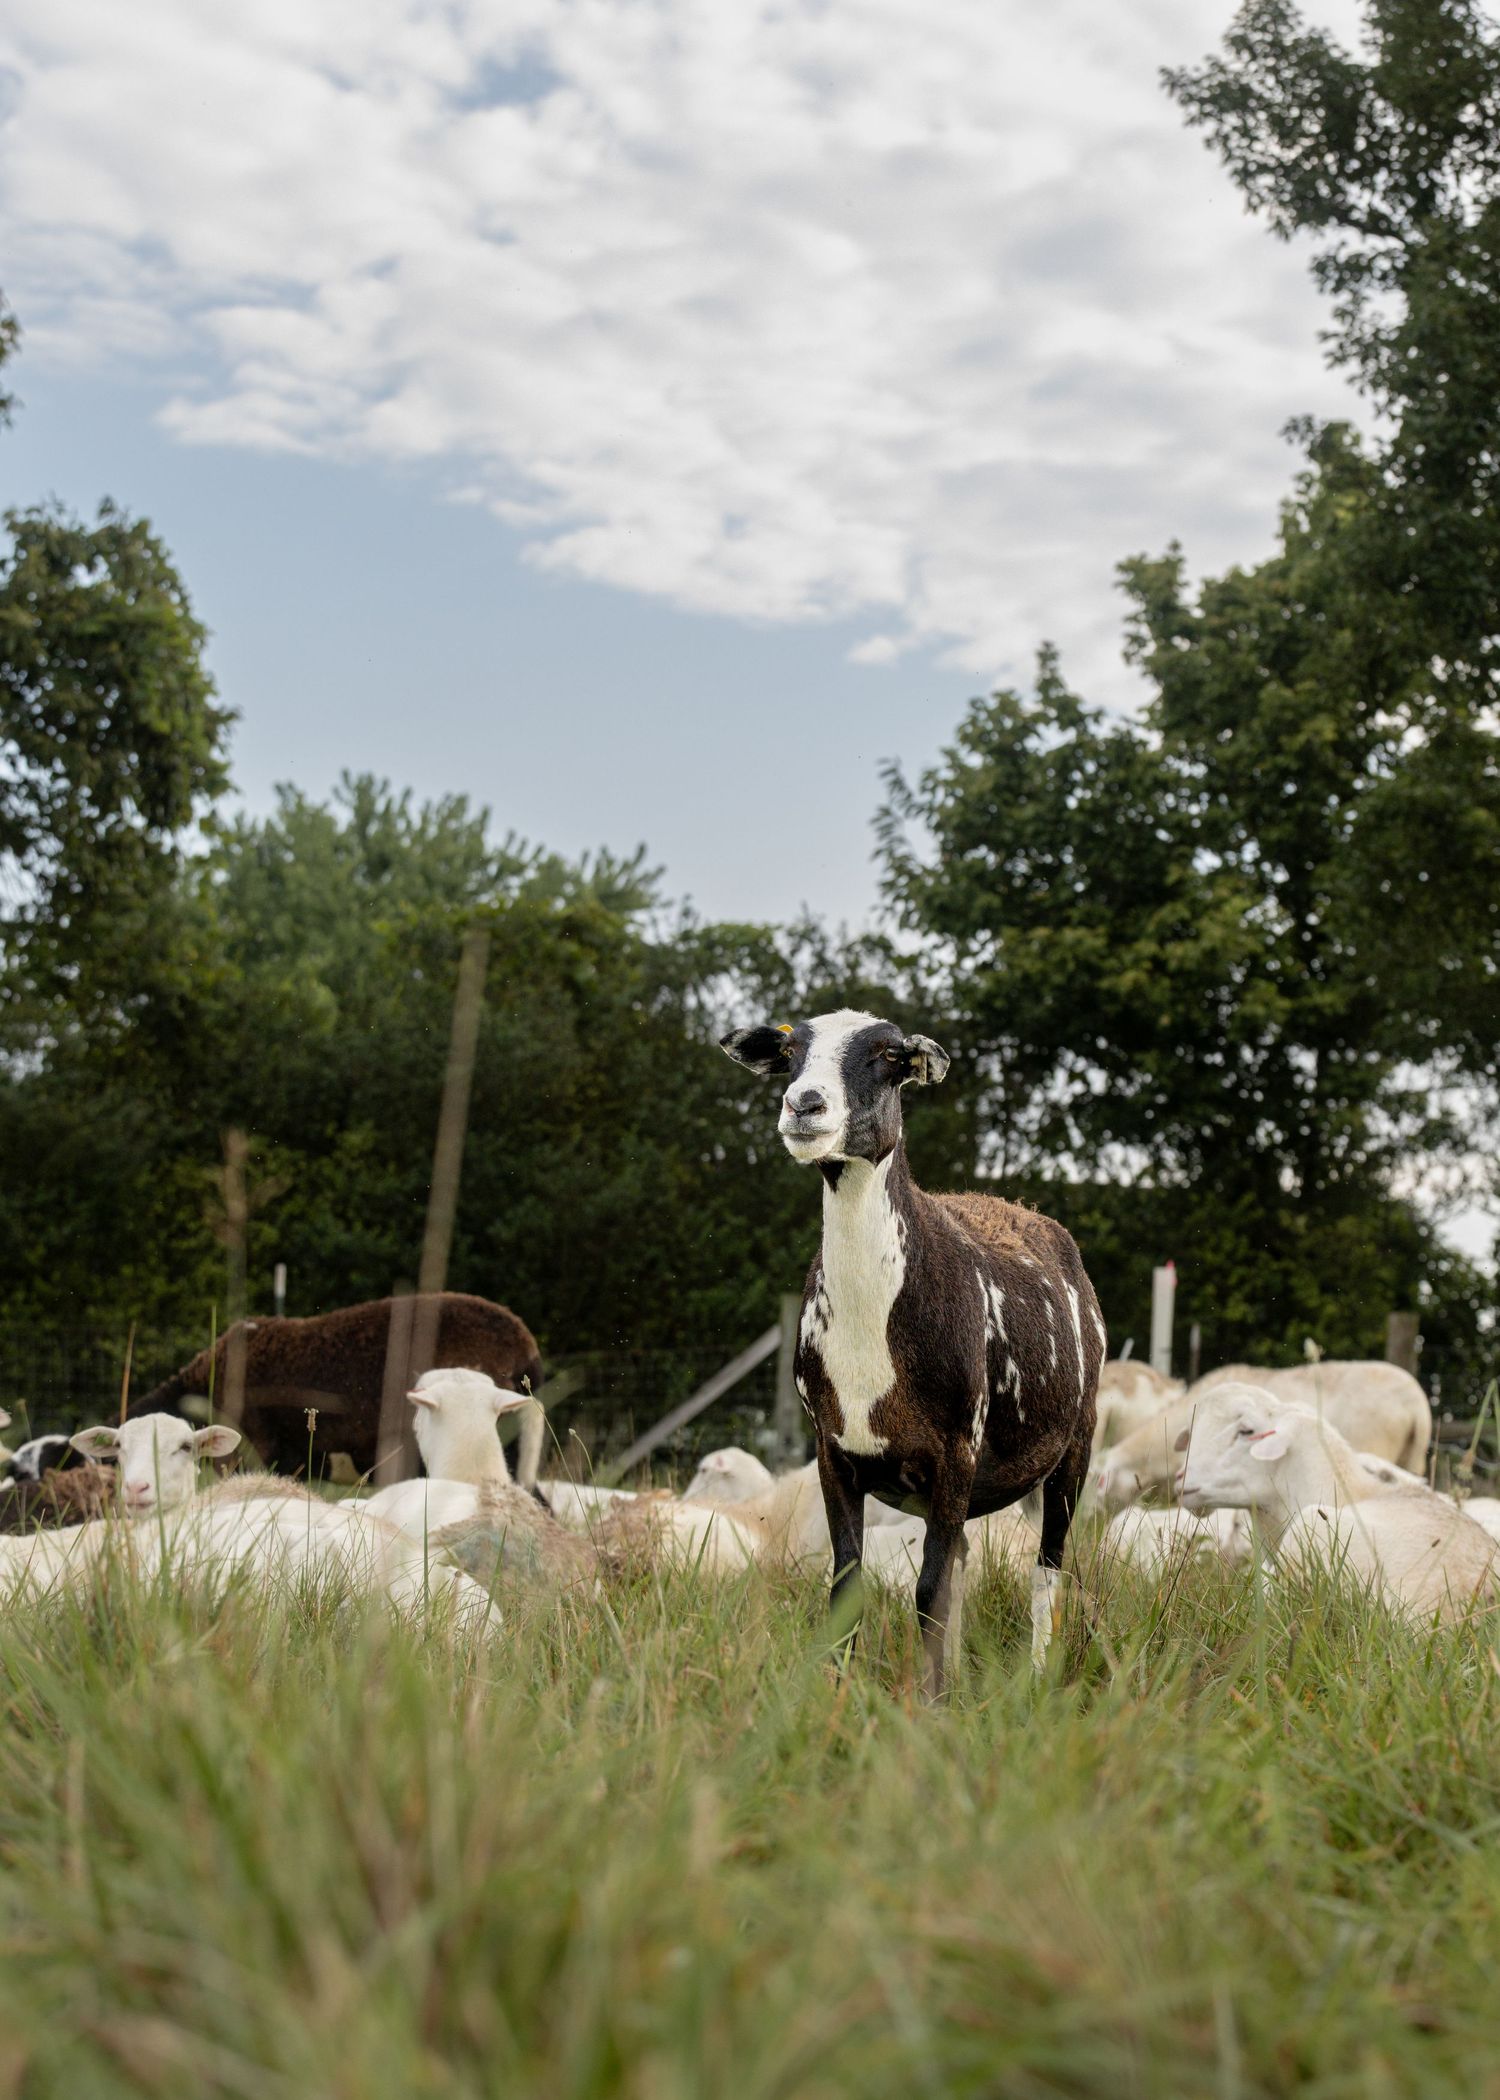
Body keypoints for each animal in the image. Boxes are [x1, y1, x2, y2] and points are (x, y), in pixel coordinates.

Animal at [722, 1008, 1105, 1695]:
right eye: (790, 1053)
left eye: (887, 1056)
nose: (803, 1104)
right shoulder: (834, 1453)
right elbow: (850, 1588)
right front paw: (841, 1697)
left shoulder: (955, 1449)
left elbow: (927, 1593)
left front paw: (931, 1703)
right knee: (965, 1568)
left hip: (1072, 1448)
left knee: (1046, 1570)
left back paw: (1035, 1677)